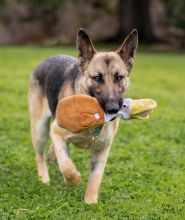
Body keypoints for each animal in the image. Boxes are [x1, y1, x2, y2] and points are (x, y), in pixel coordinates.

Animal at [28, 28, 138, 204]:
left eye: (119, 77)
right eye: (97, 78)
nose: (113, 109)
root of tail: (47, 58)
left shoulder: (102, 150)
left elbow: (96, 178)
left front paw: (90, 201)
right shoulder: (58, 132)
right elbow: (66, 165)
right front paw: (74, 179)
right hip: (40, 130)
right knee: (40, 156)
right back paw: (44, 178)